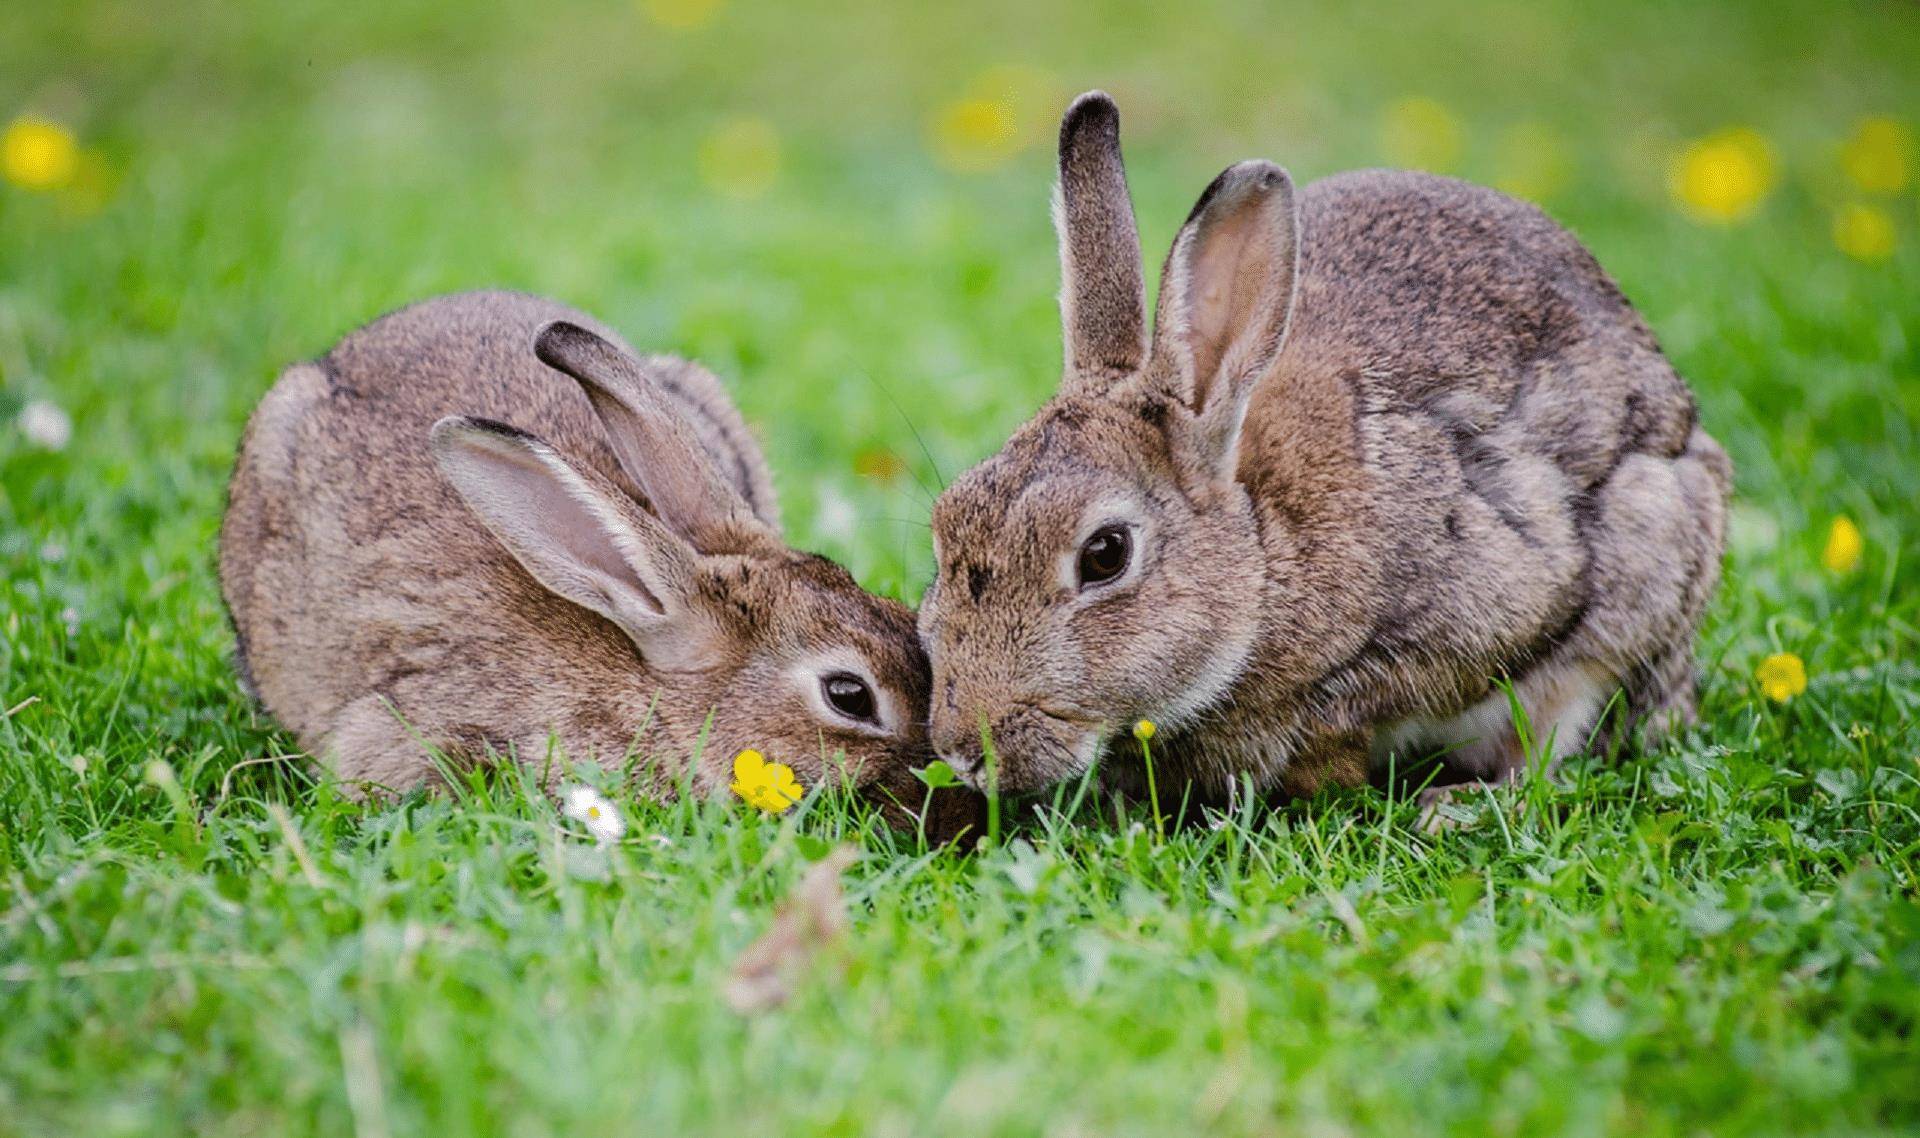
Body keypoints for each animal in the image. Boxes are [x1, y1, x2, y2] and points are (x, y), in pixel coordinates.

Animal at [910, 95, 1728, 806]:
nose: (964, 748)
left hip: (1646, 552)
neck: (1262, 556)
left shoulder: (1496, 600)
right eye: (946, 527)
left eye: (1105, 555)